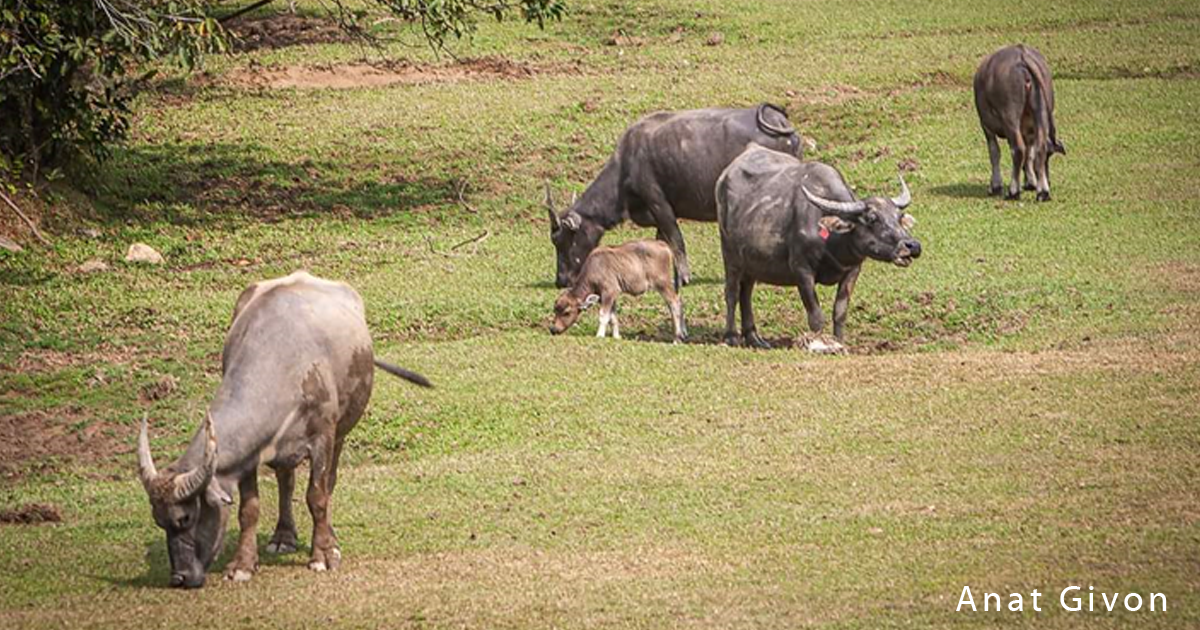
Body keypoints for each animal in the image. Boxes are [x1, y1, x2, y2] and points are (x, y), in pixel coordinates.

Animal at [136, 271, 432, 590]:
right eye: (159, 520)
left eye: (186, 518)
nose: (179, 577)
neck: (281, 359)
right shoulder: (248, 454)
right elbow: (249, 509)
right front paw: (243, 564)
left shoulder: (323, 437)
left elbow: (317, 496)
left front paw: (323, 554)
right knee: (285, 480)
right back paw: (283, 536)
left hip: (341, 430)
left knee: (329, 482)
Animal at [549, 102, 801, 286]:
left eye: (561, 241)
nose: (561, 281)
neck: (626, 167)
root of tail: (780, 122)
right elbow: (661, 242)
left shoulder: (659, 204)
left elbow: (676, 240)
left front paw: (683, 277)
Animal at [715, 144, 921, 348]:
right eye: (871, 218)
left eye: (899, 217)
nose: (912, 246)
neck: (831, 241)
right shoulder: (802, 270)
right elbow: (815, 315)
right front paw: (818, 343)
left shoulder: (853, 270)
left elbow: (840, 311)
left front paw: (839, 342)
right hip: (730, 255)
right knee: (732, 292)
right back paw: (731, 336)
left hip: (751, 262)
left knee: (746, 292)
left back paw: (754, 337)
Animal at [974, 43, 1070, 200]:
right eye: (1050, 156)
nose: (1049, 180)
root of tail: (1022, 54)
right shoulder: (1030, 132)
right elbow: (1030, 155)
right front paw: (1031, 182)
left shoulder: (986, 126)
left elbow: (994, 153)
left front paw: (995, 186)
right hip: (1041, 112)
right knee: (1039, 148)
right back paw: (1043, 191)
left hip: (1010, 117)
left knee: (1018, 150)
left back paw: (1013, 191)